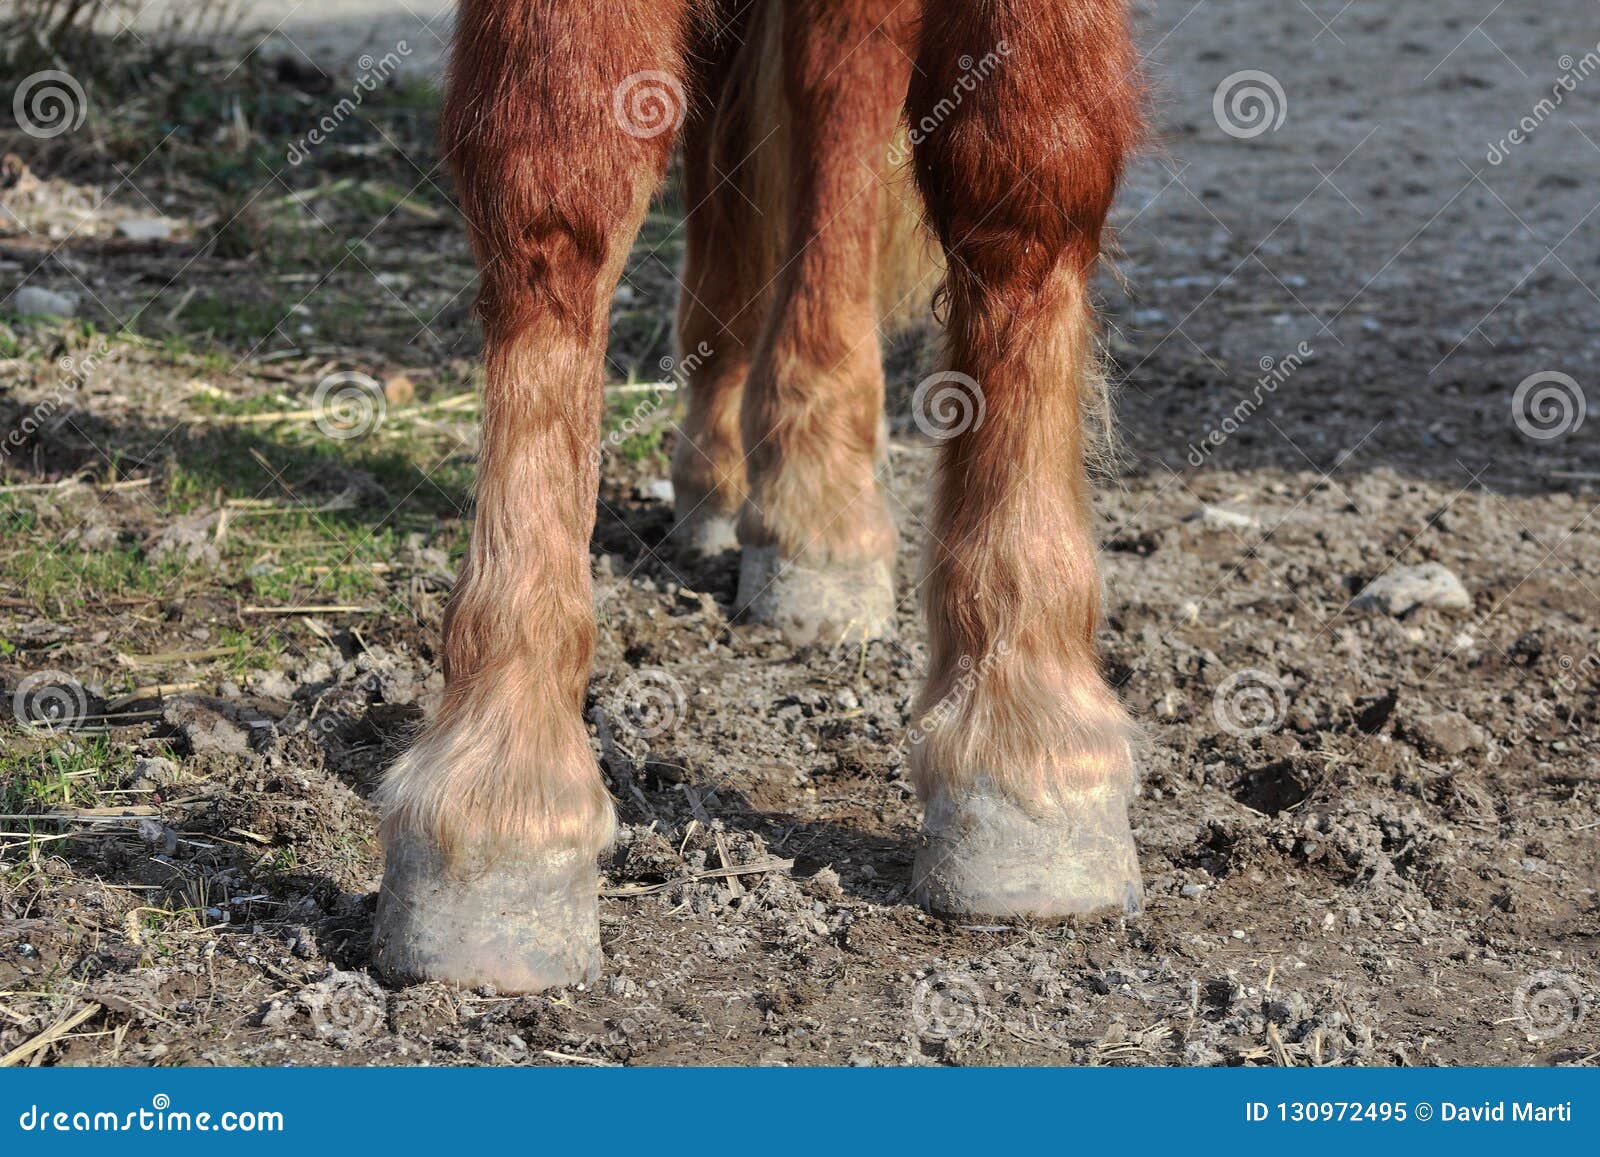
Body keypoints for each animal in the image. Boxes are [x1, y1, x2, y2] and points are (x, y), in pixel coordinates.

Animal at [372, 0, 1144, 992]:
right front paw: (502, 789)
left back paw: (818, 502)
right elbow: (555, 170)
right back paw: (738, 469)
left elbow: (1030, 161)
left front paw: (1029, 734)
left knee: (841, 77)